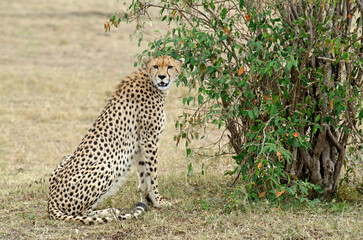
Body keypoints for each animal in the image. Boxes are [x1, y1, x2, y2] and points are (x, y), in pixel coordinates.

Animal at [47, 55, 185, 224]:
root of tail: (51, 200)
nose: (162, 77)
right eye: (156, 66)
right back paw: (109, 212)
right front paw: (159, 201)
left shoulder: (140, 144)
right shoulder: (149, 140)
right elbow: (153, 174)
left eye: (170, 67)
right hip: (106, 167)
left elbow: (143, 175)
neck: (150, 81)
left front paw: (147, 200)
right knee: (82, 212)